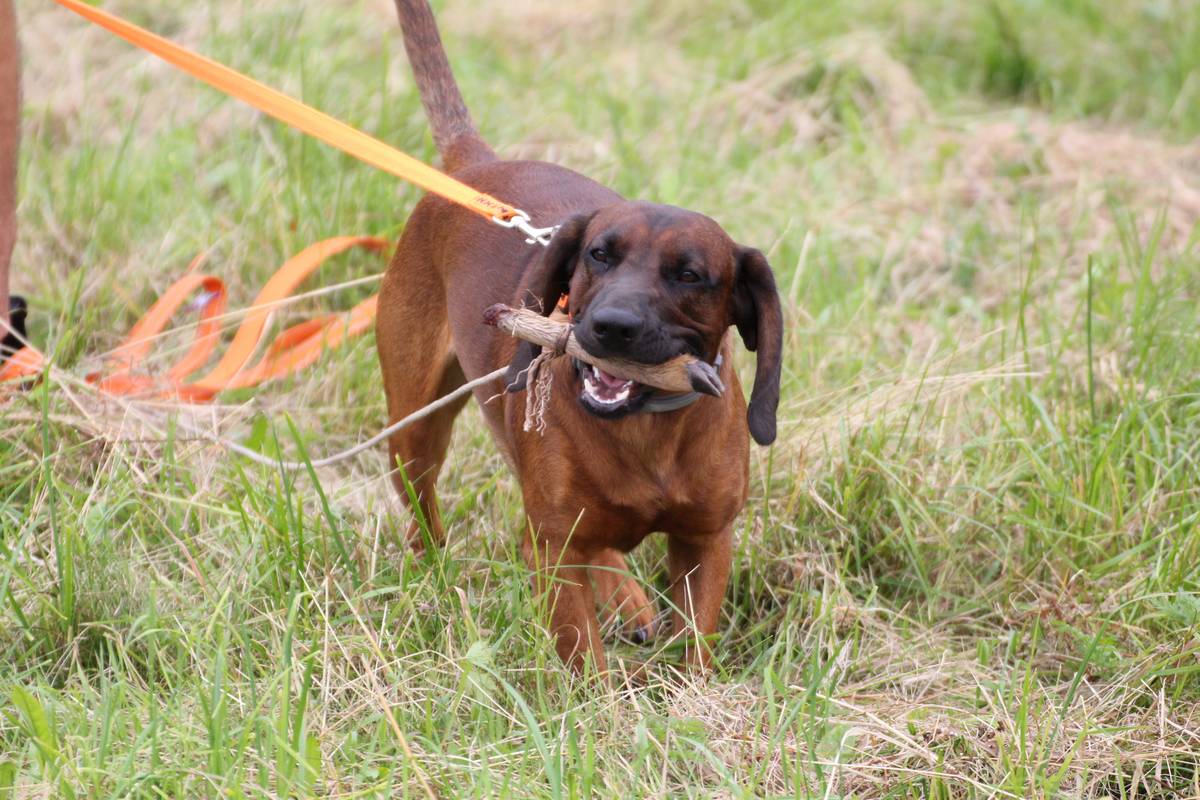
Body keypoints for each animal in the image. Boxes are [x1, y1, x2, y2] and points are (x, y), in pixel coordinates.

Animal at [379, 0, 782, 676]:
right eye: (599, 255)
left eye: (690, 276)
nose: (610, 326)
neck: (645, 430)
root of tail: (476, 164)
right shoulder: (555, 548)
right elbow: (582, 659)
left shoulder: (705, 541)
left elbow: (693, 649)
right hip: (414, 430)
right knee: (423, 511)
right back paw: (434, 573)